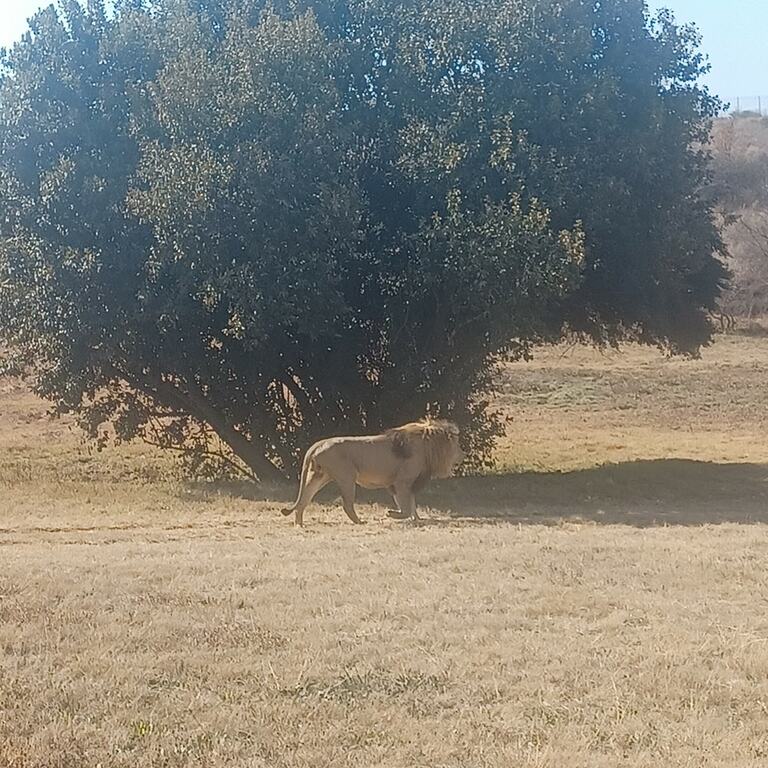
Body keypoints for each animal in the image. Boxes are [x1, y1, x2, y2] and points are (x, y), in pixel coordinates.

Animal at [280, 418, 464, 526]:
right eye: (457, 445)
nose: (463, 453)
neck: (427, 445)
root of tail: (319, 443)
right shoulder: (402, 482)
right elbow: (405, 507)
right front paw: (391, 514)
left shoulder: (400, 484)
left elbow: (411, 504)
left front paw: (417, 520)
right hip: (347, 476)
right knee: (346, 504)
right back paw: (359, 521)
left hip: (318, 476)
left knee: (304, 499)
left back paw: (299, 523)